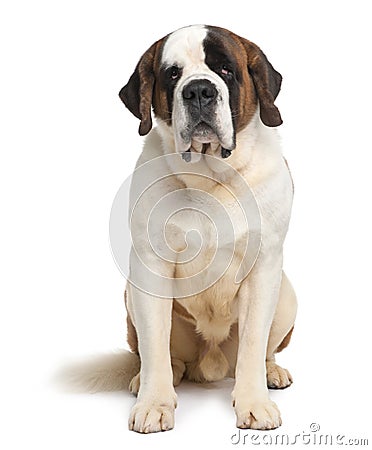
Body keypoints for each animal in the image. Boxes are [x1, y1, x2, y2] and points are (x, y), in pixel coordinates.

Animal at [117, 24, 298, 432]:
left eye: (226, 69)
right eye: (172, 74)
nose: (199, 90)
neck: (210, 175)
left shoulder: (264, 267)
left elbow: (253, 342)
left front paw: (254, 404)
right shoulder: (148, 267)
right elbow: (154, 342)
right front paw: (154, 403)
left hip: (287, 299)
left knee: (262, 349)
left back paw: (272, 373)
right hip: (131, 296)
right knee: (159, 353)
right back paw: (147, 378)